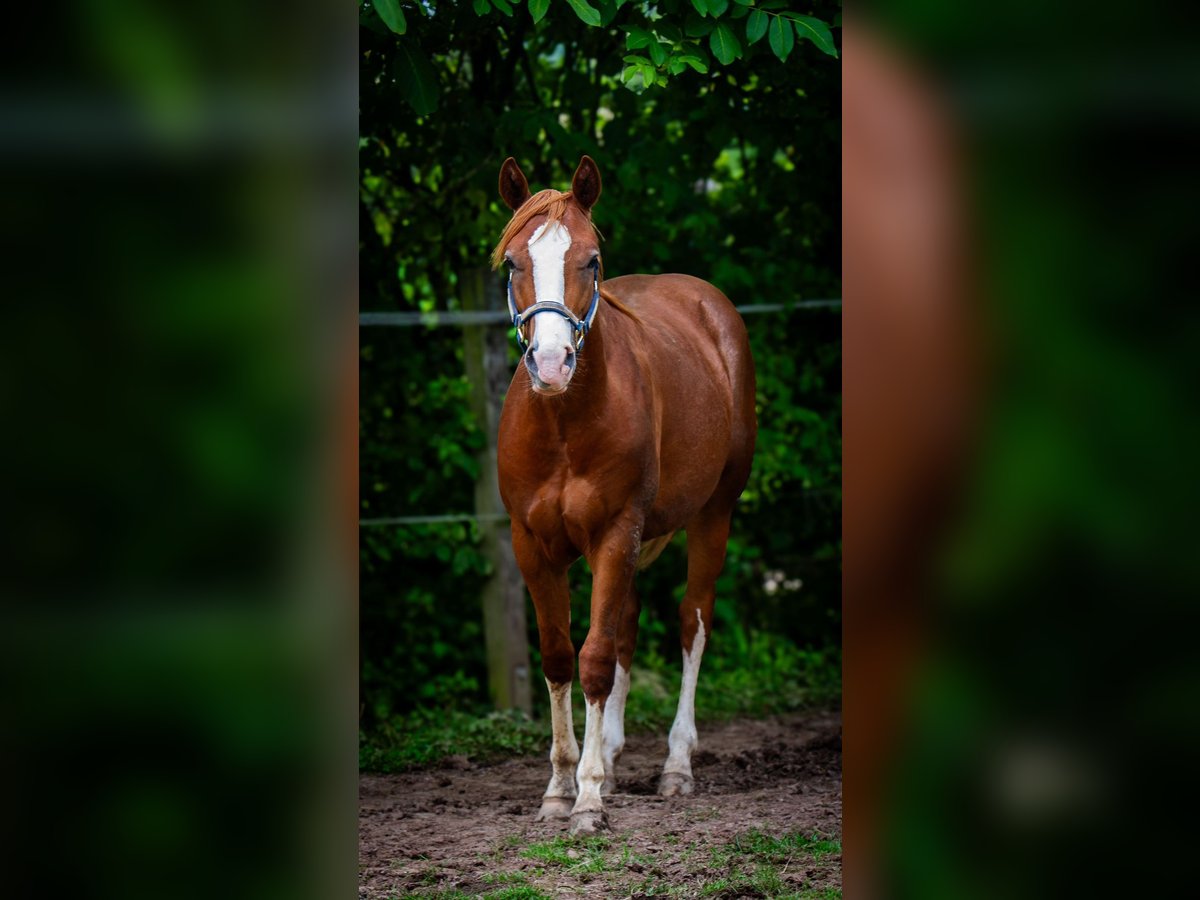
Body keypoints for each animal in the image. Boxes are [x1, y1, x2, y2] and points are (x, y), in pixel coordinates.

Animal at [489, 157, 753, 840]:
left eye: (591, 260)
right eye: (513, 263)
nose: (551, 363)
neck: (563, 422)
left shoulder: (615, 533)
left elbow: (596, 657)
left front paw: (587, 800)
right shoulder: (532, 544)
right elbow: (561, 656)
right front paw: (561, 786)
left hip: (714, 514)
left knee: (691, 621)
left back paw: (675, 766)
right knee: (628, 624)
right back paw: (606, 751)